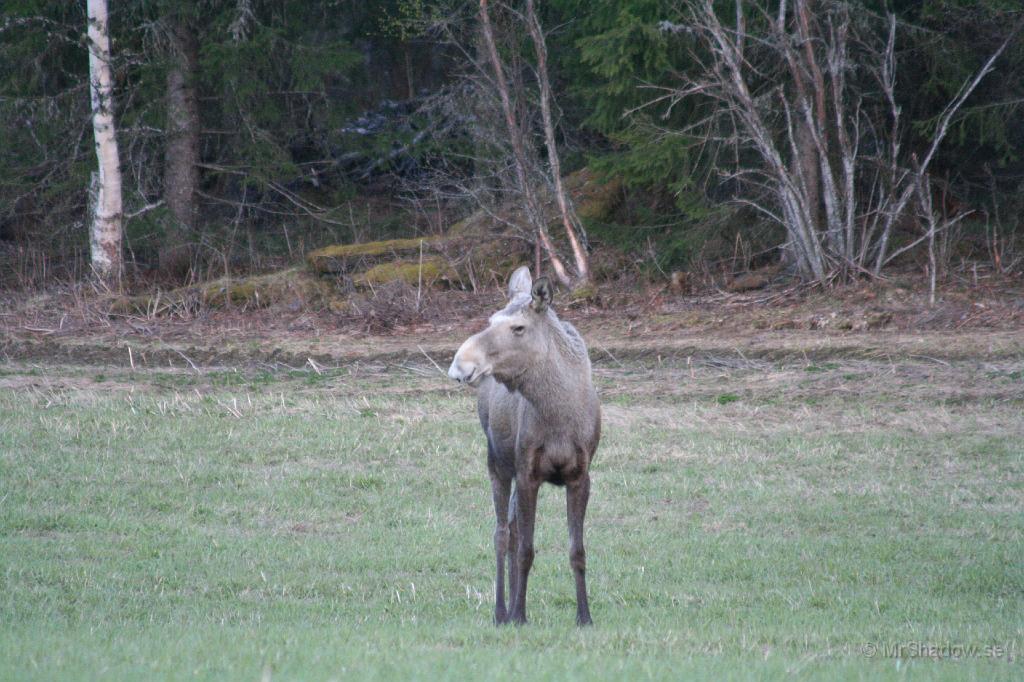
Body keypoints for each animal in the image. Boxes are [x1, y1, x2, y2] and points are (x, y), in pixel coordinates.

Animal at [448, 264, 598, 622]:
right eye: (489, 320)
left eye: (518, 327)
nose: (461, 365)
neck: (560, 418)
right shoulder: (527, 471)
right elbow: (526, 549)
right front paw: (518, 614)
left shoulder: (581, 475)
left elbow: (577, 550)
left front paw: (584, 617)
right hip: (498, 463)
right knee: (503, 534)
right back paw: (502, 611)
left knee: (512, 530)